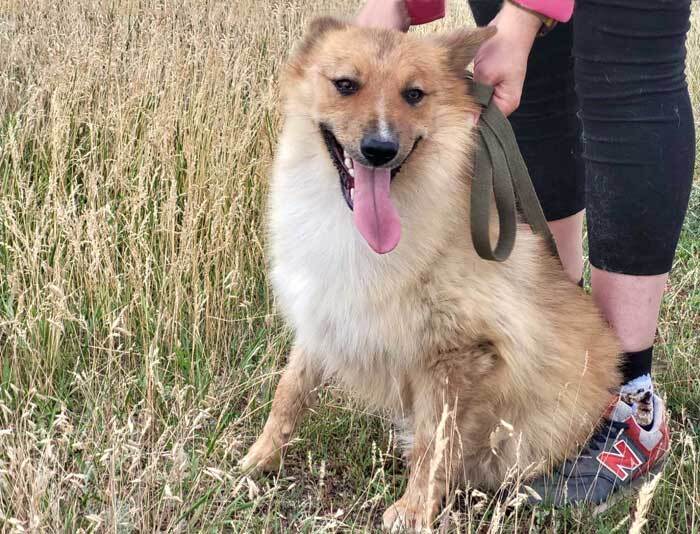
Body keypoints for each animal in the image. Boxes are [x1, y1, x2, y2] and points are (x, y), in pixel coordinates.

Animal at [239, 18, 616, 532]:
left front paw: (415, 508)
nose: (379, 149)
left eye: (414, 94)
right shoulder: (324, 312)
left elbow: (433, 444)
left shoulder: (455, 356)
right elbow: (289, 391)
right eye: (345, 85)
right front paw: (261, 456)